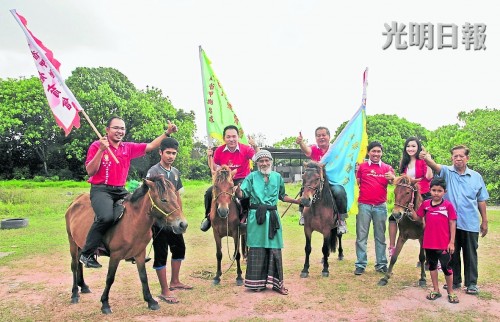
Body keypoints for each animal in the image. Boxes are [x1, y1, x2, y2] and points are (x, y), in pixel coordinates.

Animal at [66, 176, 188, 314]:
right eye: (163, 199)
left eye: (176, 197)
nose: (183, 224)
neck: (133, 221)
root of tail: (75, 202)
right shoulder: (115, 255)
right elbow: (110, 278)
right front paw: (105, 303)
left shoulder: (140, 253)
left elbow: (143, 277)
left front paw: (150, 301)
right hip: (72, 243)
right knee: (74, 266)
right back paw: (75, 294)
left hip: (80, 244)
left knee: (80, 263)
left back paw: (83, 286)